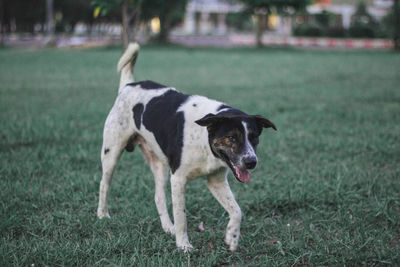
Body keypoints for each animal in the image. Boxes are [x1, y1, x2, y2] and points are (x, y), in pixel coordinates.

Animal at [97, 43, 276, 252]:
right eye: (231, 138)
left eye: (254, 138)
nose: (251, 162)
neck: (204, 138)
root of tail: (128, 85)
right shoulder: (178, 180)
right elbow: (182, 217)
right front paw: (183, 246)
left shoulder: (216, 181)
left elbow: (237, 211)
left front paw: (232, 237)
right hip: (112, 152)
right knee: (104, 183)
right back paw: (102, 215)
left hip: (159, 164)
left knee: (158, 197)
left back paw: (168, 227)